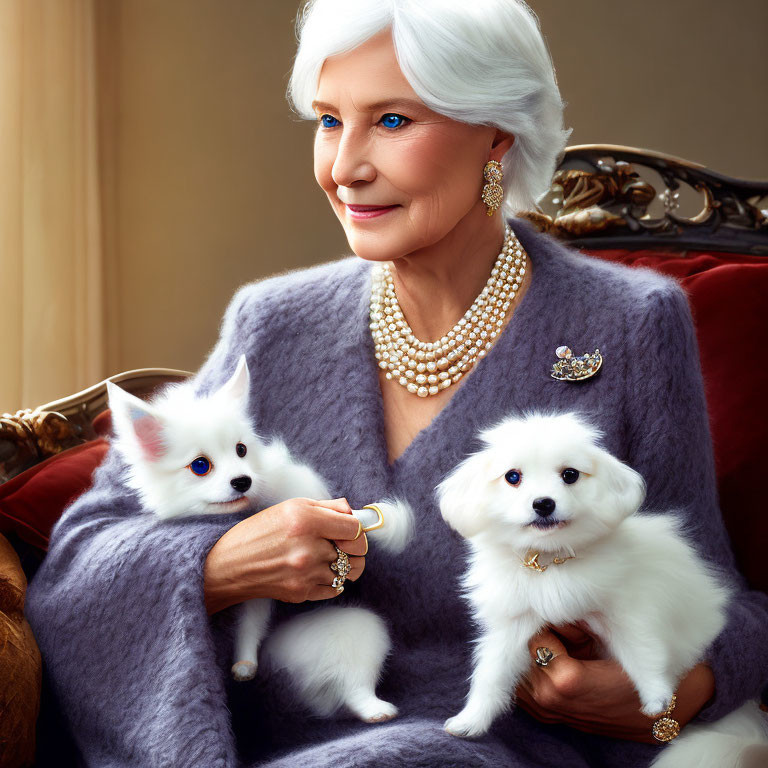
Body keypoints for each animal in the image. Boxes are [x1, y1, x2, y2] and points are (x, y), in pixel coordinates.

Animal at [106, 352, 414, 720]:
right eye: (200, 466)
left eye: (241, 450)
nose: (243, 480)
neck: (239, 513)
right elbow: (249, 620)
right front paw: (244, 663)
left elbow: (250, 621)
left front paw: (243, 661)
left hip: (357, 632)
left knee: (356, 684)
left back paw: (375, 709)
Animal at [438, 412, 768, 764]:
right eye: (512, 477)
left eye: (570, 475)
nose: (543, 503)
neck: (552, 561)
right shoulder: (512, 623)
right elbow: (491, 672)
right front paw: (470, 720)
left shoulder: (625, 611)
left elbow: (643, 651)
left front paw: (657, 697)